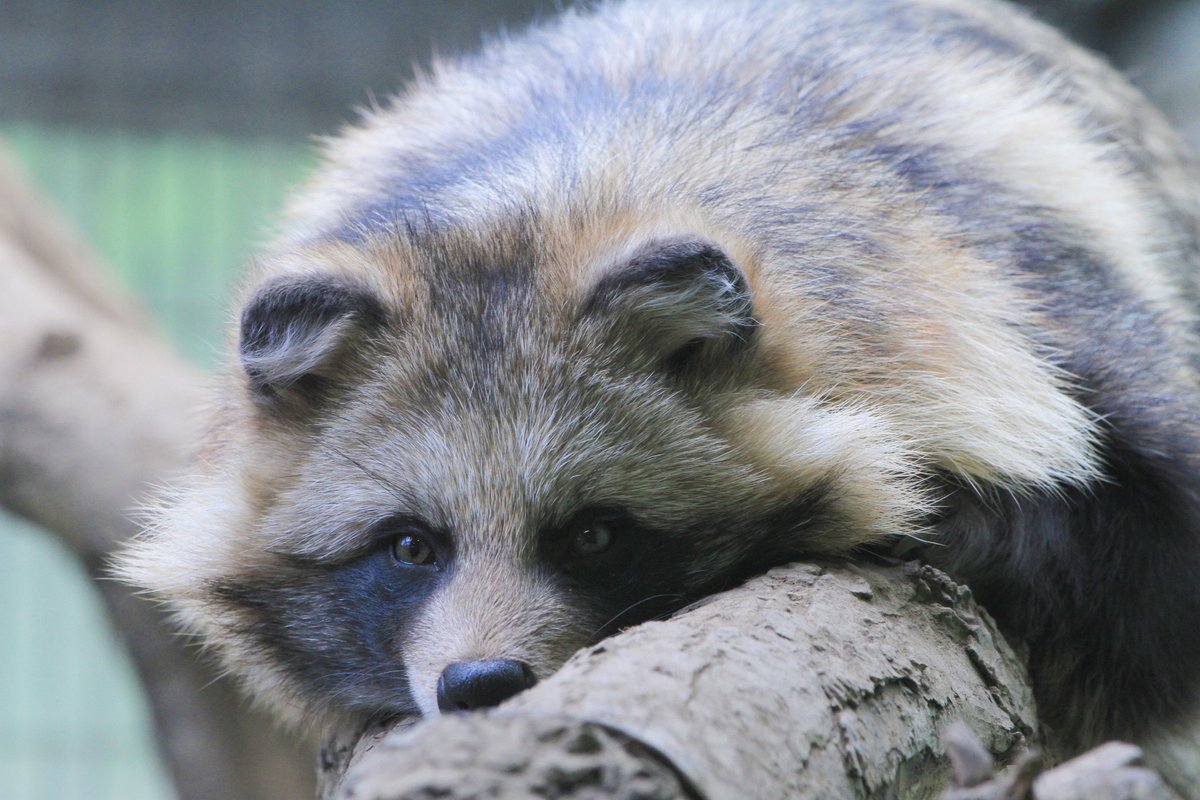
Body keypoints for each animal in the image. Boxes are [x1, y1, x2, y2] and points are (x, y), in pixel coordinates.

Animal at [119, 0, 1200, 782]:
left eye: (595, 533)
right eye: (410, 546)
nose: (482, 683)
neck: (553, 192)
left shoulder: (1040, 303)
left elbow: (1153, 582)